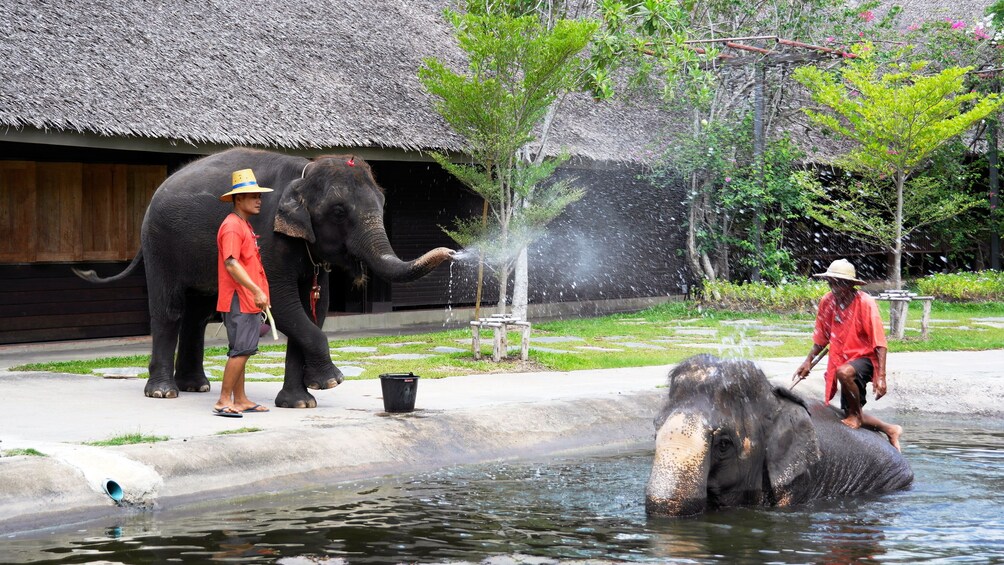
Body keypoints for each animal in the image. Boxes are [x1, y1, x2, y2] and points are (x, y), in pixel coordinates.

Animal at [76, 148, 453, 409]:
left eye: (383, 202)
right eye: (339, 211)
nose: (451, 252)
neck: (303, 173)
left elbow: (314, 310)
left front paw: (301, 402)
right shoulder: (270, 239)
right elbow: (283, 304)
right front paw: (331, 382)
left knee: (197, 314)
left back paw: (196, 386)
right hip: (160, 243)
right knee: (169, 309)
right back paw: (163, 392)